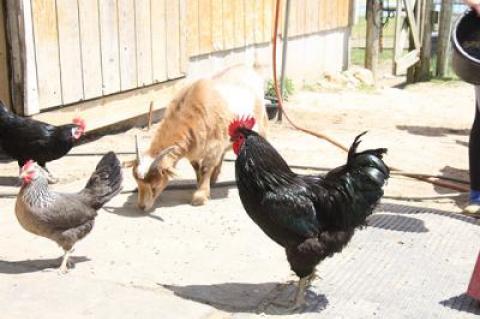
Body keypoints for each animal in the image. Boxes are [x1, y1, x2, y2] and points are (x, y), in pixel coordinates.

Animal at [125, 65, 268, 210]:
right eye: (137, 184)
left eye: (154, 186)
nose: (142, 206)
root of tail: (248, 68)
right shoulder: (194, 149)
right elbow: (196, 166)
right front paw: (200, 183)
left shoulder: (213, 146)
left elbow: (205, 168)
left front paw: (200, 196)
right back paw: (214, 177)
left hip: (259, 122)